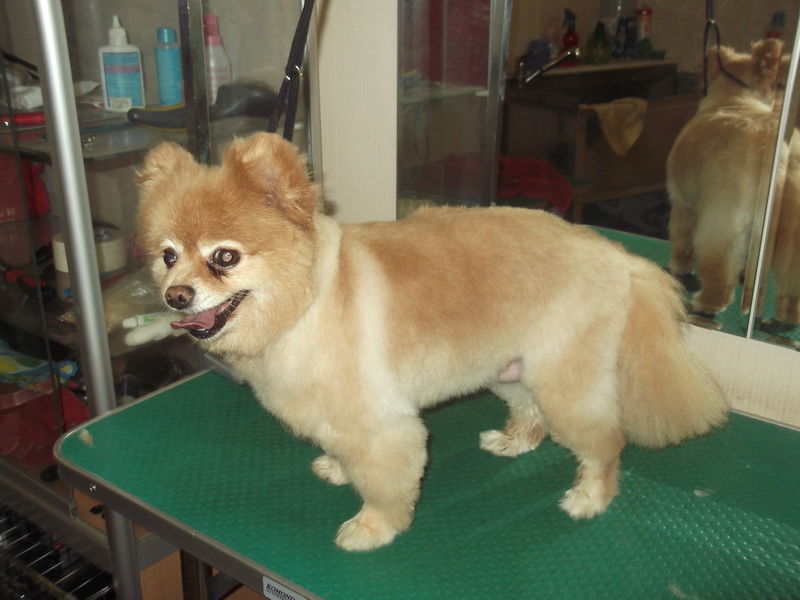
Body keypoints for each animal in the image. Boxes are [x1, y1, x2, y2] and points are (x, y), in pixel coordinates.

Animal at [136, 132, 728, 551]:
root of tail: (618, 257)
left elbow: (383, 484)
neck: (308, 301)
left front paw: (374, 529)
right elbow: (343, 451)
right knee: (532, 414)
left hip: (566, 382)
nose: (176, 296)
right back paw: (515, 441)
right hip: (510, 369)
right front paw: (338, 469)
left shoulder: (383, 425)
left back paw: (591, 497)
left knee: (606, 442)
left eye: (225, 257)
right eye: (167, 255)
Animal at [667, 38, 800, 323]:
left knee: (719, 267)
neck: (734, 100)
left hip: (723, 220)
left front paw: (680, 266)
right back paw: (788, 313)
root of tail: (781, 153)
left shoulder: (683, 202)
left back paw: (708, 303)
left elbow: (682, 239)